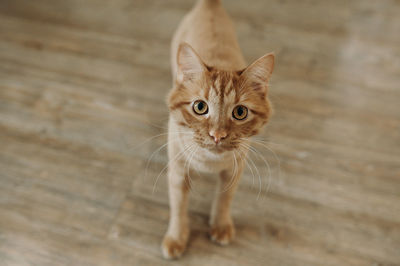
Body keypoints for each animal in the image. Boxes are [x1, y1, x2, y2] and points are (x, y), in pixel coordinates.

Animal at [161, 0, 274, 258]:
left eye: (240, 112)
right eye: (200, 107)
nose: (217, 135)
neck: (208, 163)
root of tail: (209, 4)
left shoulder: (234, 170)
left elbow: (224, 199)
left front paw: (220, 225)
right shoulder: (178, 171)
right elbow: (178, 207)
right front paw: (176, 238)